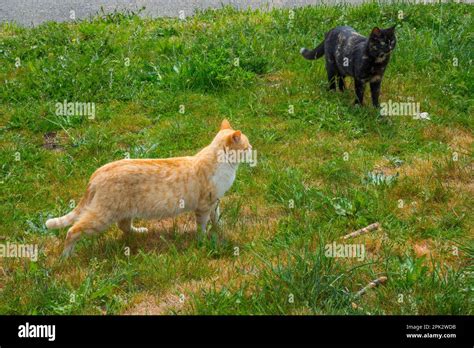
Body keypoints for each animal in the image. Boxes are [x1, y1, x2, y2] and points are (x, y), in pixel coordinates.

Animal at [45, 119, 252, 258]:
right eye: (247, 147)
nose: (253, 150)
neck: (222, 163)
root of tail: (98, 172)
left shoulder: (214, 202)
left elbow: (217, 218)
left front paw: (220, 229)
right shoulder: (203, 206)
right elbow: (202, 225)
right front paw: (202, 240)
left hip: (124, 211)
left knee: (124, 226)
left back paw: (141, 232)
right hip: (102, 217)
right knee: (73, 230)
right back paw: (66, 257)